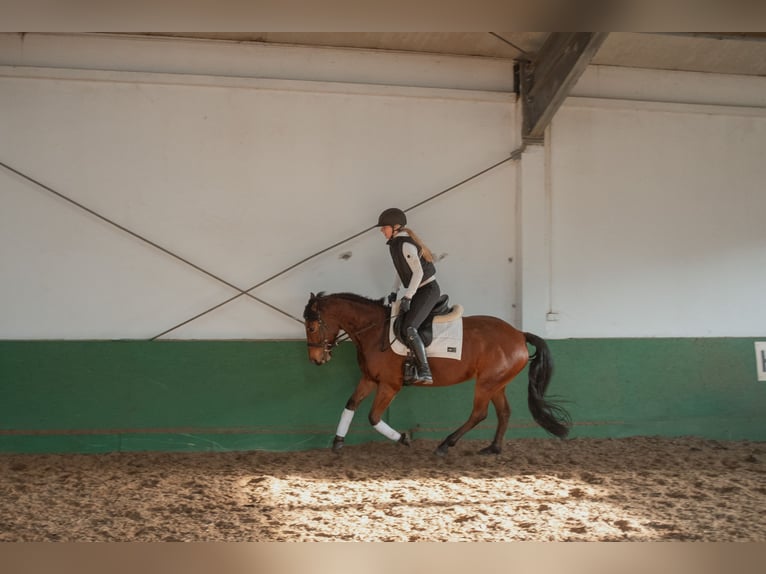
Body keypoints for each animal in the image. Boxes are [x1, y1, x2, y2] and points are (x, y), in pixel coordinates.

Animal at [304, 294, 572, 456]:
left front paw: (403, 438)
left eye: (313, 326)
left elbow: (373, 417)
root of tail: (519, 334)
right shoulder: (369, 379)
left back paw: (445, 444)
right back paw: (493, 448)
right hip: (496, 383)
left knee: (479, 413)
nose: (316, 359)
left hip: (486, 384)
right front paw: (338, 442)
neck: (374, 331)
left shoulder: (390, 385)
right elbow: (350, 404)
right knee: (503, 412)